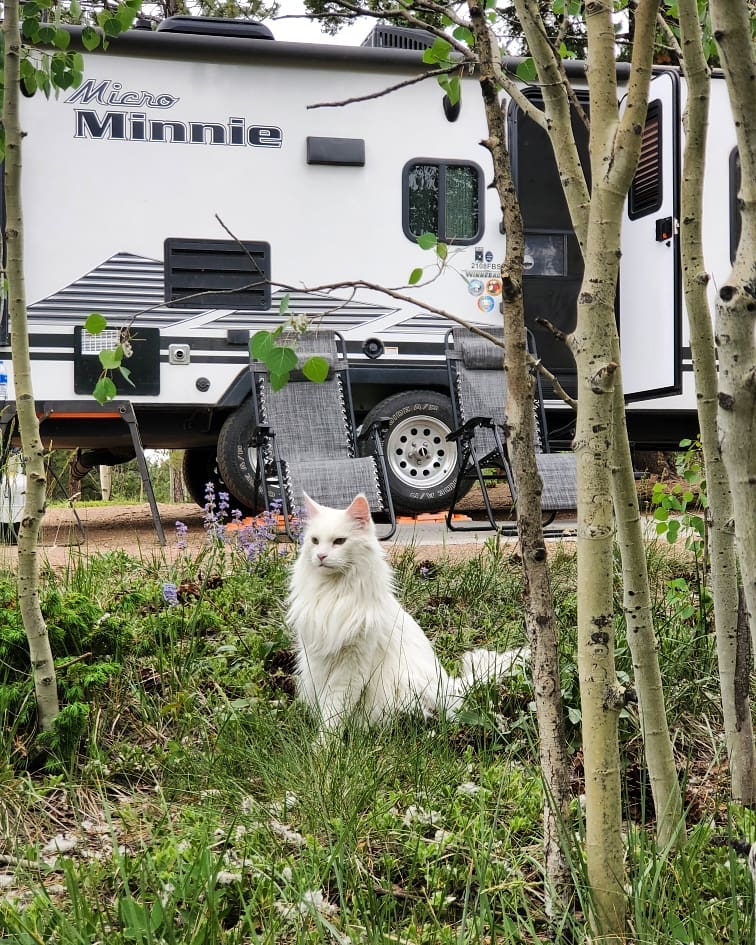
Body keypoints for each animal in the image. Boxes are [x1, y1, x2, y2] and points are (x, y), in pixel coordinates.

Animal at [286, 490, 528, 732]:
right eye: (315, 541)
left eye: (339, 541)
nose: (321, 556)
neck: (333, 592)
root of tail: (449, 687)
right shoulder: (316, 660)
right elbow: (325, 706)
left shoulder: (353, 663)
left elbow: (334, 711)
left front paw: (327, 741)